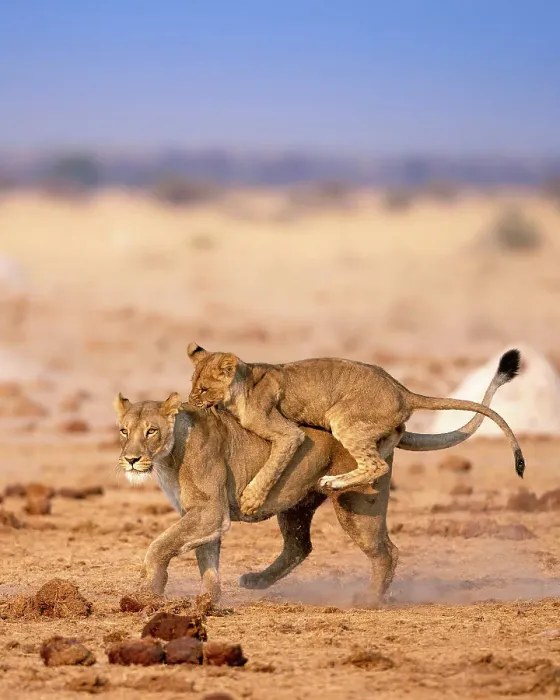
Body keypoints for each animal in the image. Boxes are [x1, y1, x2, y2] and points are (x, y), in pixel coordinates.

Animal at [186, 344, 525, 515]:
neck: (242, 385)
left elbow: (272, 466)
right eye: (192, 385)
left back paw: (334, 482)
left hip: (343, 418)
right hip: (378, 429)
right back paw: (340, 482)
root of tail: (403, 391)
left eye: (203, 389)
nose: (191, 400)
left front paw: (251, 500)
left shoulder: (287, 432)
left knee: (375, 465)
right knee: (381, 454)